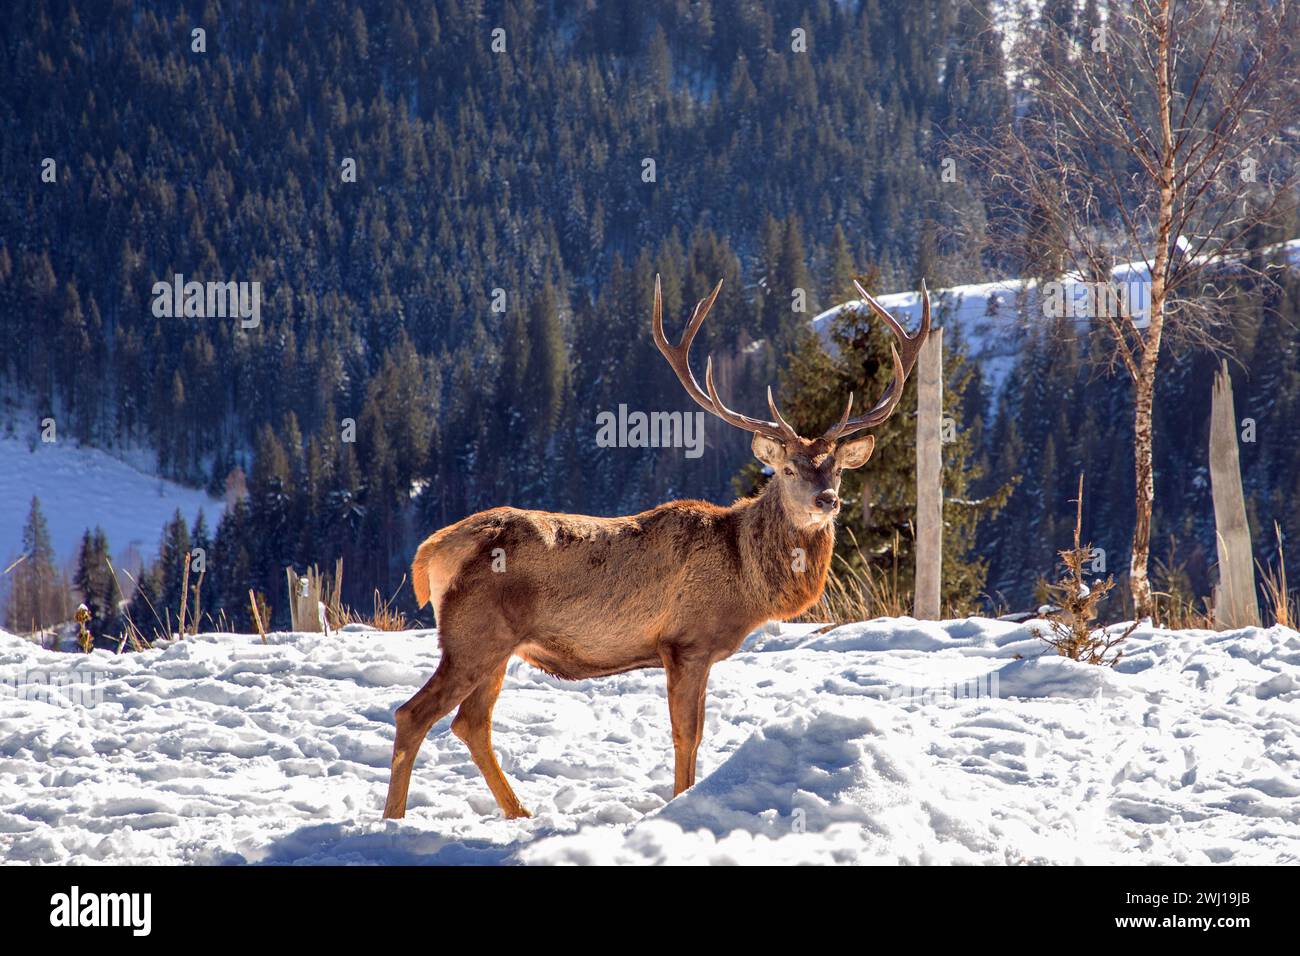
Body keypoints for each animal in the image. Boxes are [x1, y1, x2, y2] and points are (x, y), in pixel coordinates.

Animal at [383, 276, 931, 820]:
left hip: (498, 646)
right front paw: (681, 803)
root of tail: (432, 551)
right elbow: (687, 735)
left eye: (836, 469)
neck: (746, 578)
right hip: (473, 634)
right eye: (789, 468)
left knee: (470, 722)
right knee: (414, 714)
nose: (827, 500)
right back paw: (394, 820)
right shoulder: (686, 641)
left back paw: (520, 813)